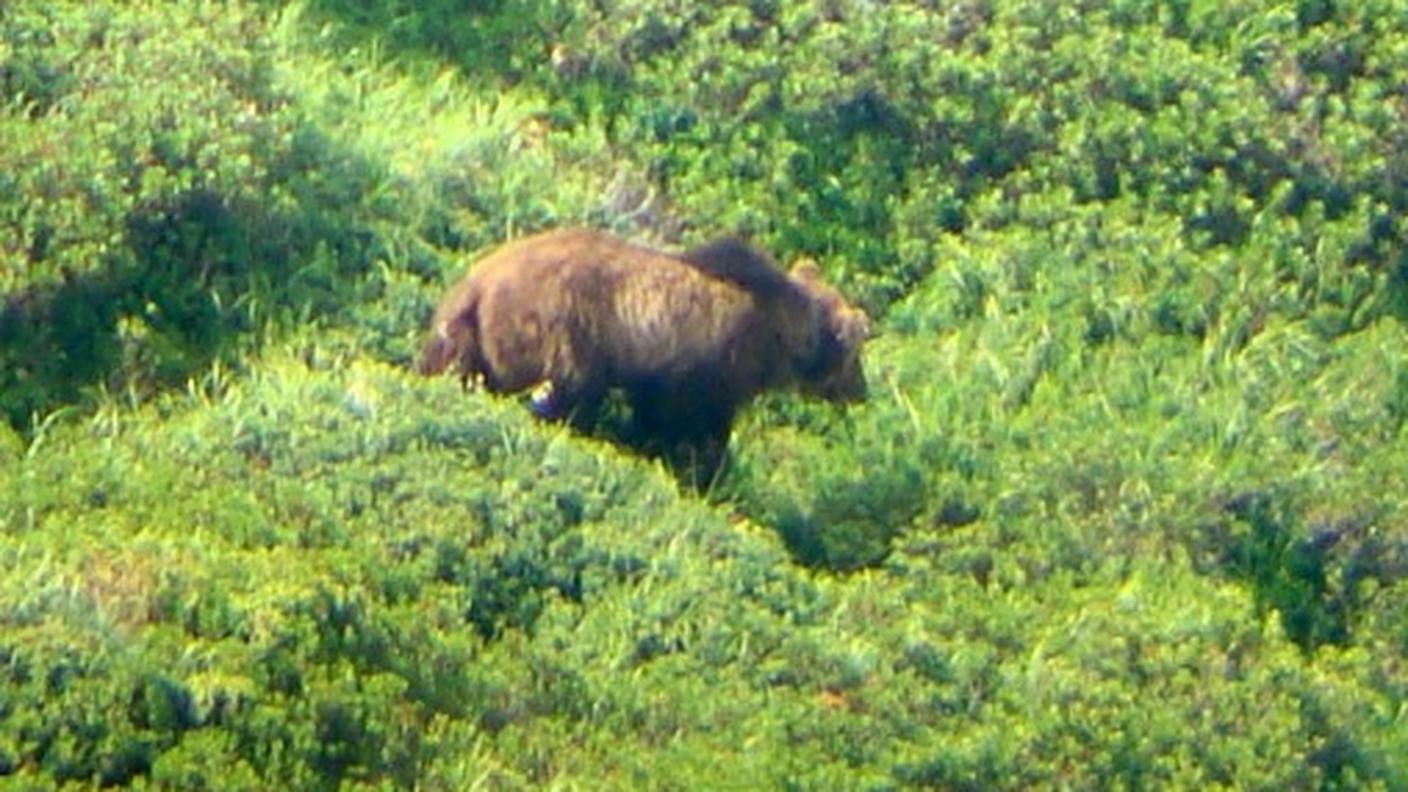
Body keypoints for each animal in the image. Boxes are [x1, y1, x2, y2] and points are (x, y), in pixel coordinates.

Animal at [416, 225, 867, 479]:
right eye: (855, 355)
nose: (863, 392)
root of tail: (477, 285)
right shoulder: (707, 368)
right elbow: (692, 427)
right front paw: (703, 471)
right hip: (559, 332)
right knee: (570, 394)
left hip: (465, 340)